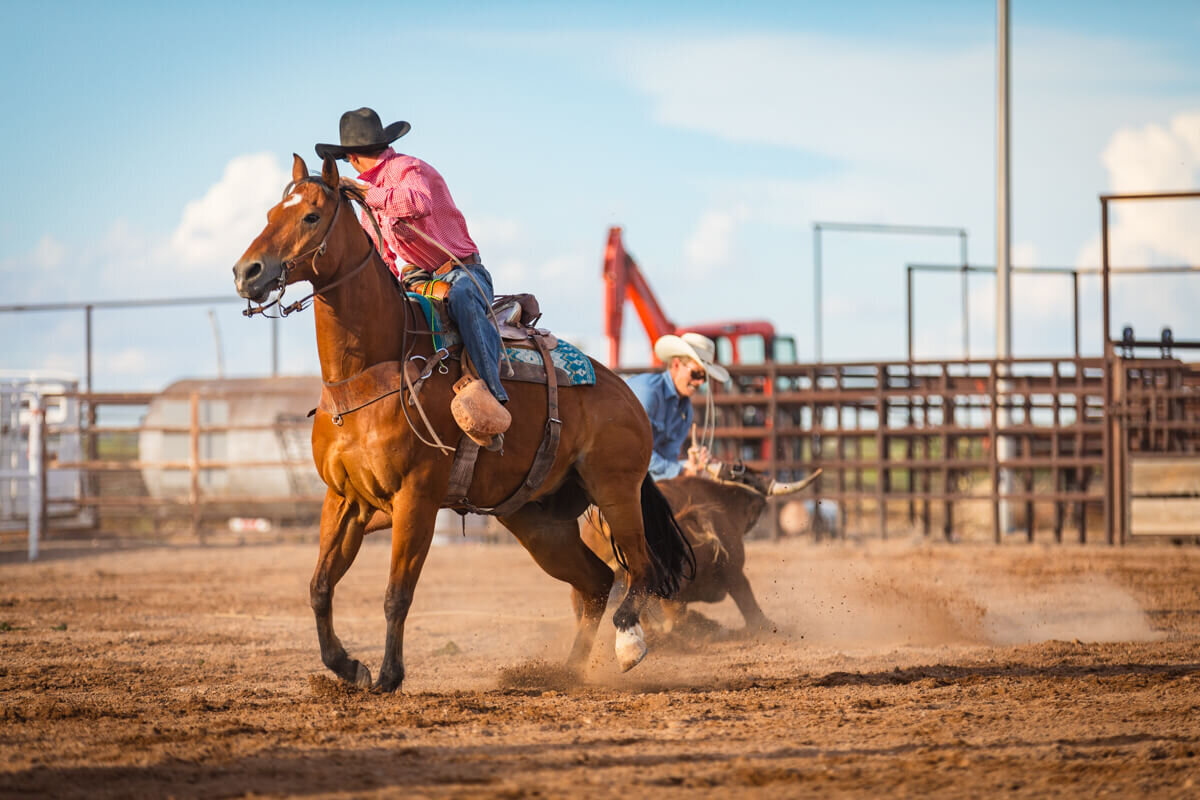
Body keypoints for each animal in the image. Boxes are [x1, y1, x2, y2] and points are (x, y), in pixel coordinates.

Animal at [231, 153, 696, 690]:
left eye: (311, 216)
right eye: (270, 213)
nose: (246, 271)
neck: (370, 374)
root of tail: (625, 392)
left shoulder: (417, 498)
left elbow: (397, 594)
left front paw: (389, 675)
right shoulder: (344, 499)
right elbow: (319, 586)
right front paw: (348, 667)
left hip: (615, 489)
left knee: (638, 569)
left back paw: (628, 646)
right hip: (537, 519)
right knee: (596, 582)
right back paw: (566, 672)